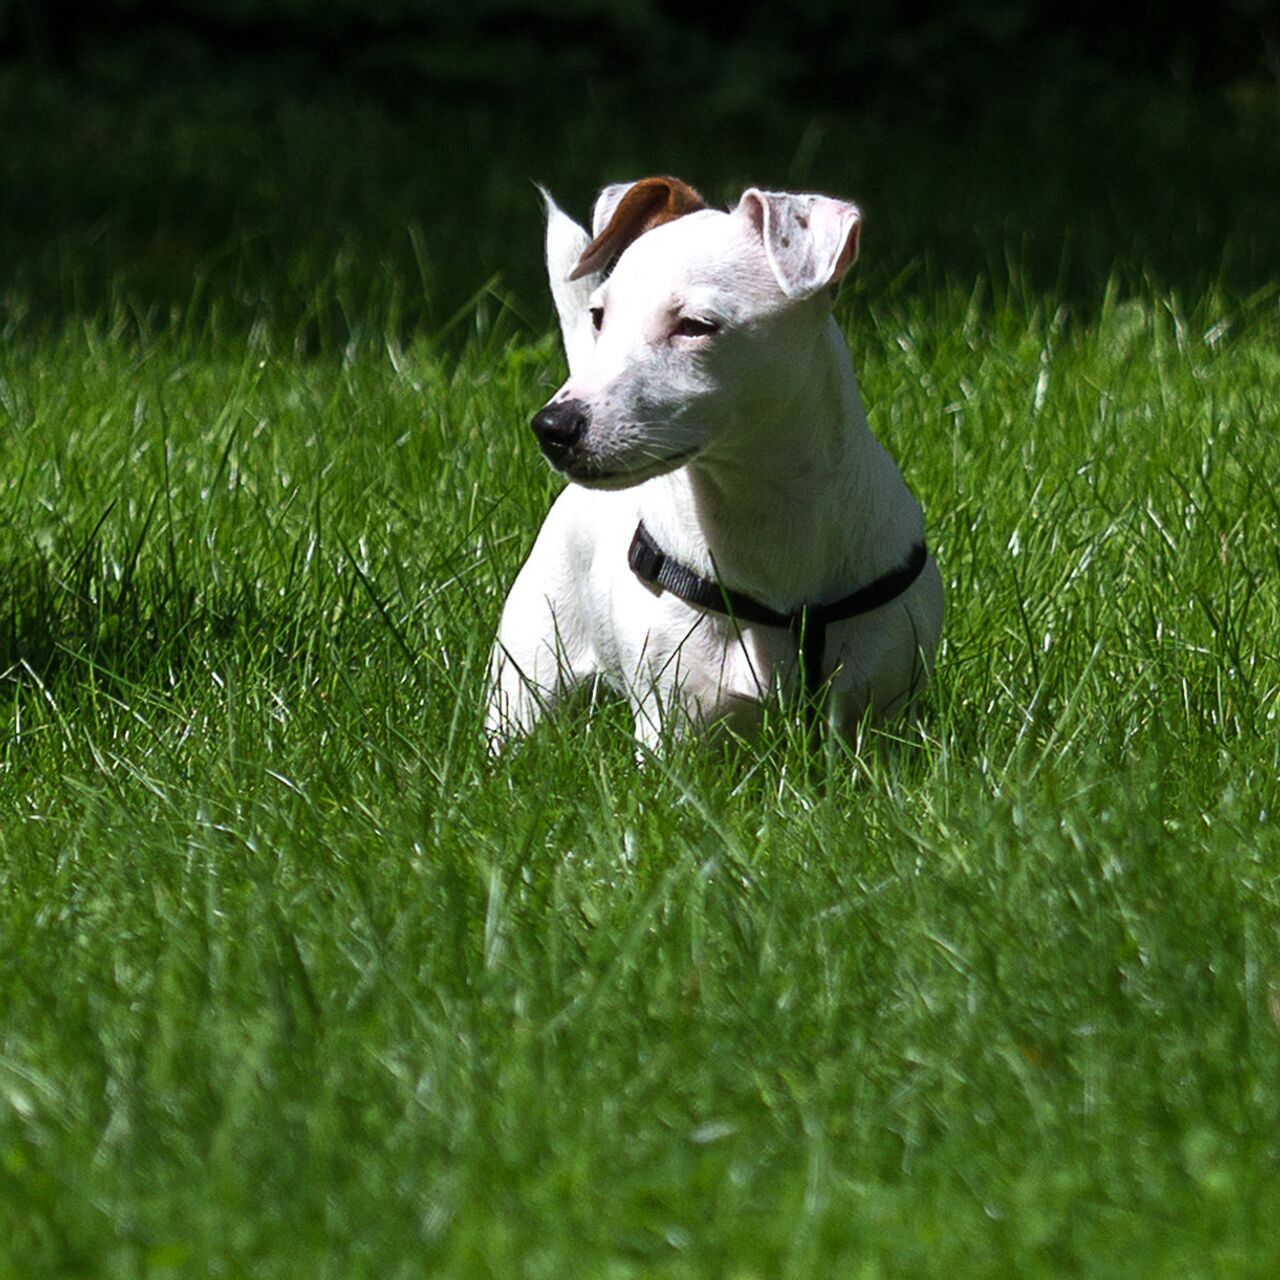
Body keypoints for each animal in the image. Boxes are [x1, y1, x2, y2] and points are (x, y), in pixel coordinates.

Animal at [483, 175, 947, 747]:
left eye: (696, 325)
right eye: (598, 317)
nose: (553, 426)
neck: (766, 512)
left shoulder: (882, 718)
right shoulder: (671, 725)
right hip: (528, 676)